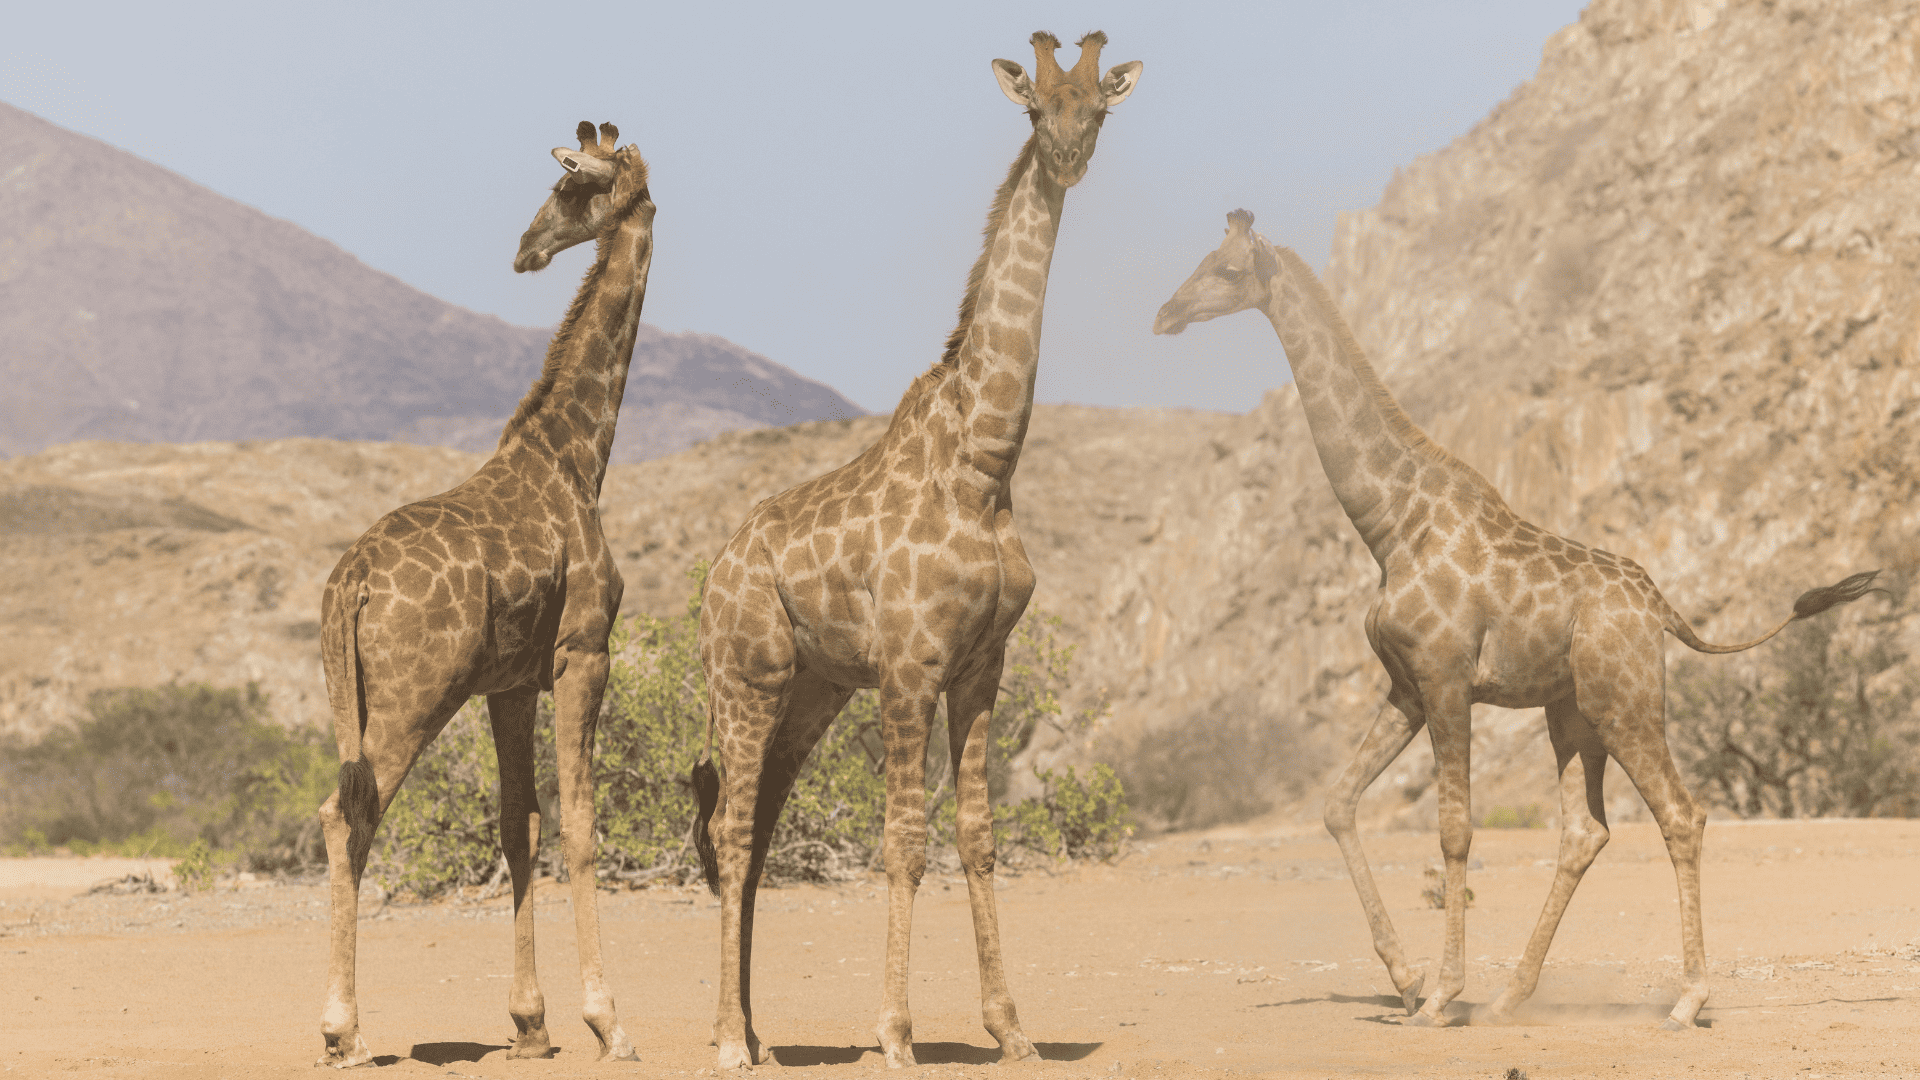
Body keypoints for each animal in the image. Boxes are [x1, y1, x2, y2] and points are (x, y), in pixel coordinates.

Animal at [313, 121, 653, 1068]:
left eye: (570, 188)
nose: (526, 250)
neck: (578, 458)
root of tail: (348, 585)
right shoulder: (583, 652)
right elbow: (579, 823)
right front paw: (607, 1020)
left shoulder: (507, 683)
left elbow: (518, 823)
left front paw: (531, 1024)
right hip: (414, 695)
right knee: (347, 811)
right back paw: (341, 1029)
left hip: (359, 695)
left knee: (347, 806)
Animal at [689, 31, 1142, 1070]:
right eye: (1036, 107)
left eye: (1097, 107)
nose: (1066, 155)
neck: (983, 467)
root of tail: (717, 571)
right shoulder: (908, 664)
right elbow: (902, 837)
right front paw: (894, 1032)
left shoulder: (980, 665)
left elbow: (976, 834)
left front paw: (1010, 1028)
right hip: (748, 676)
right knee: (729, 827)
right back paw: (727, 1040)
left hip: (812, 691)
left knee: (757, 832)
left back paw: (759, 1033)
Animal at [1153, 209, 1881, 1029]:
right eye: (1203, 259)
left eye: (1226, 269)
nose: (1167, 314)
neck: (1390, 526)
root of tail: (1662, 609)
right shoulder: (1405, 685)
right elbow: (1339, 805)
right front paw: (1407, 979)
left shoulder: (1445, 680)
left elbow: (1454, 830)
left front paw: (1441, 993)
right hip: (1572, 714)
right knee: (1584, 831)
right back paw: (1511, 996)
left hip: (1626, 702)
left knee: (1681, 814)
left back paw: (1687, 998)